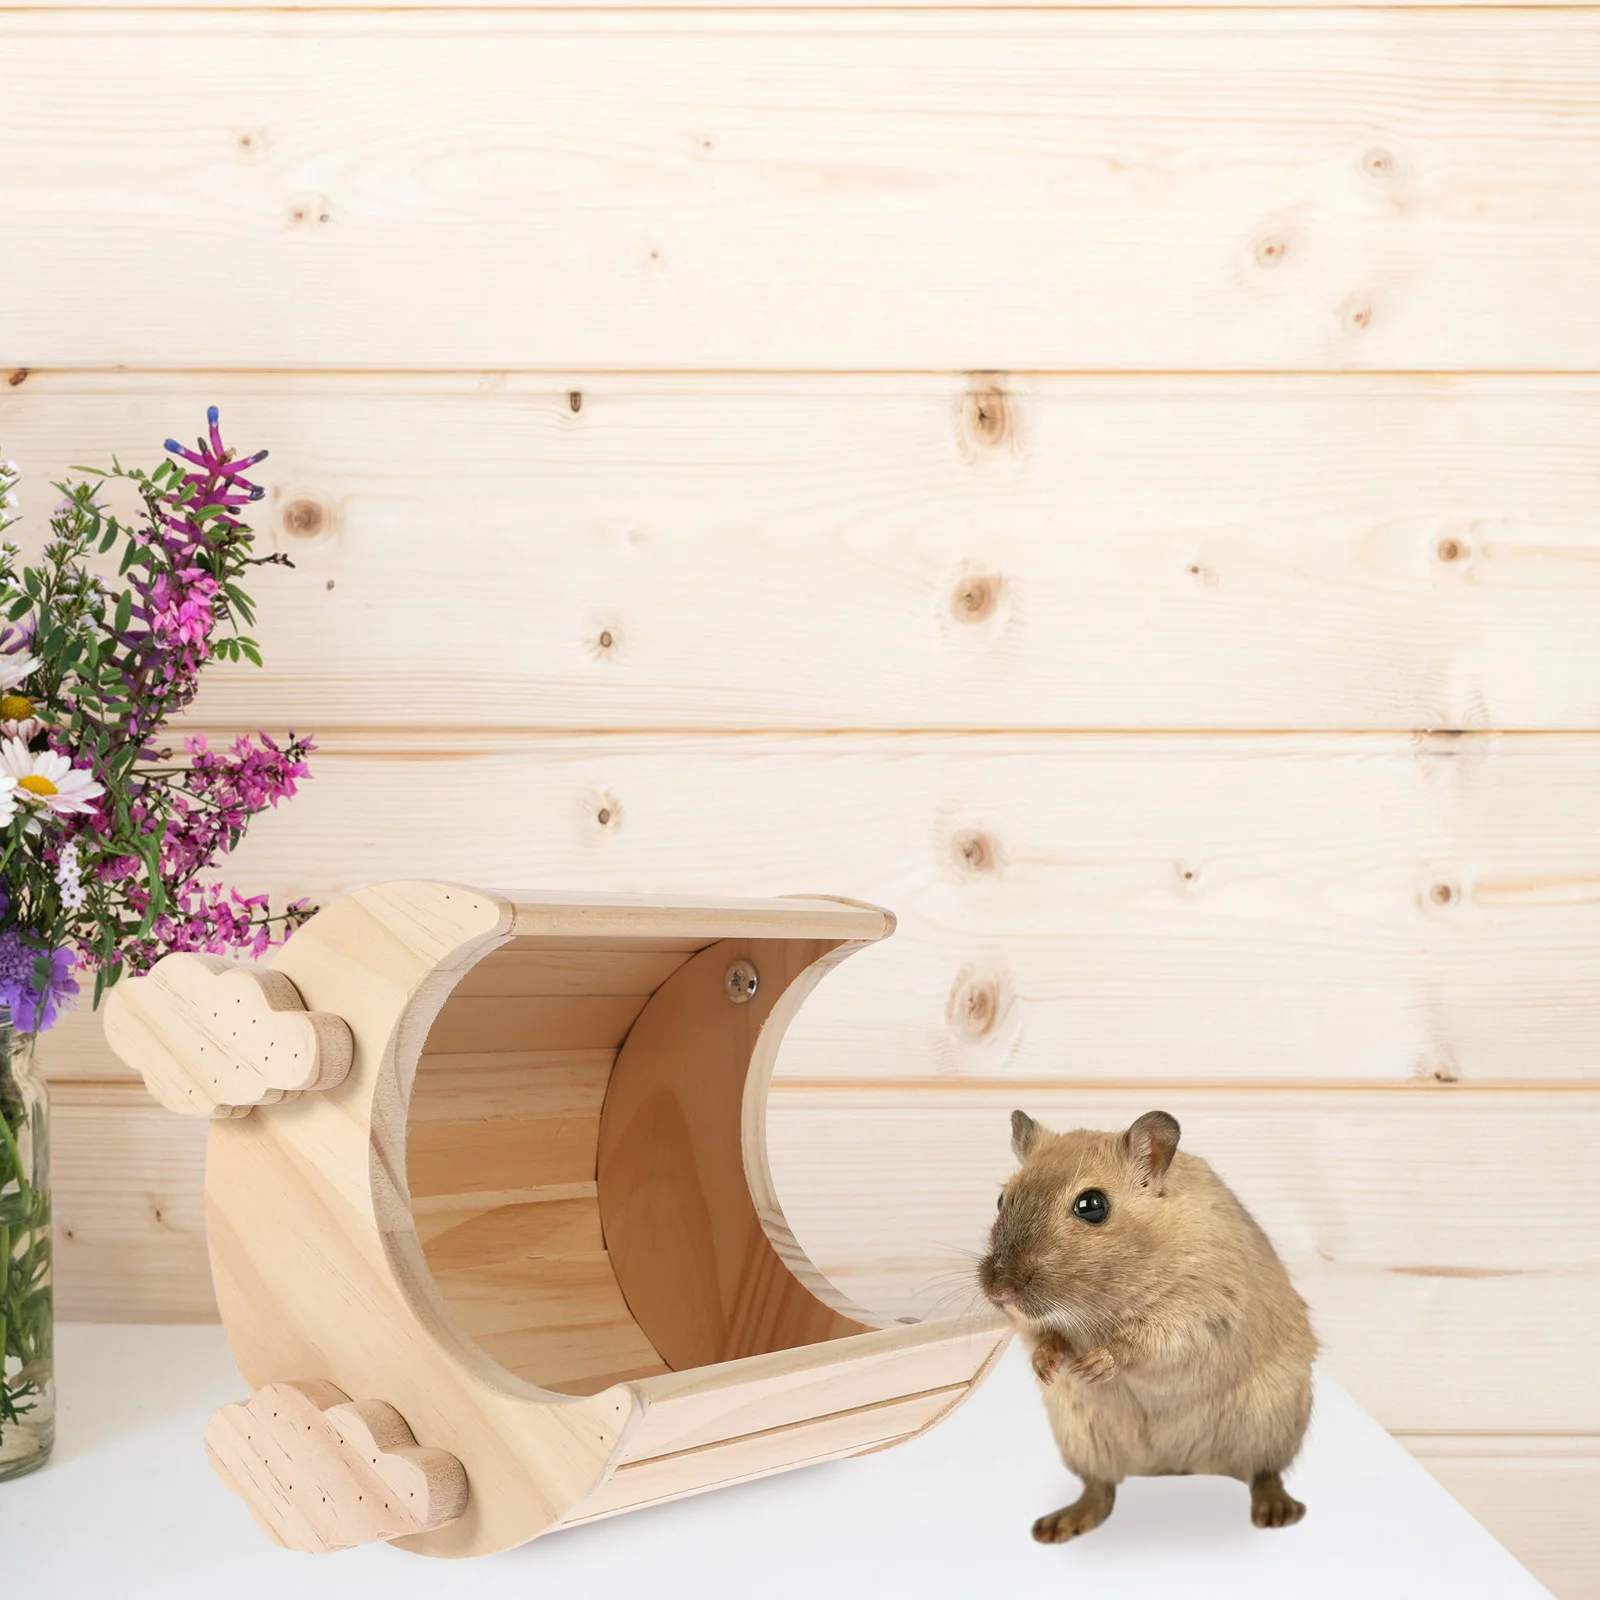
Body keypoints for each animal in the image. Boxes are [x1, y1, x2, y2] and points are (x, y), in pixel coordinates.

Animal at [977, 1109, 1316, 1542]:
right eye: (1002, 1199)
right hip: (1083, 1438)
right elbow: (1044, 1336)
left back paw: (1277, 1512)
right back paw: (1058, 1526)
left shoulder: (1199, 1312)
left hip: (1272, 1423)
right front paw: (1048, 1366)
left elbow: (1142, 1344)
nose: (1000, 1292)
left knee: (1264, 1473)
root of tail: (1174, 1467)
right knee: (1100, 1487)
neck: (1095, 1307)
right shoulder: (1036, 1325)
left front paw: (1093, 1365)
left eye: (1092, 1206)